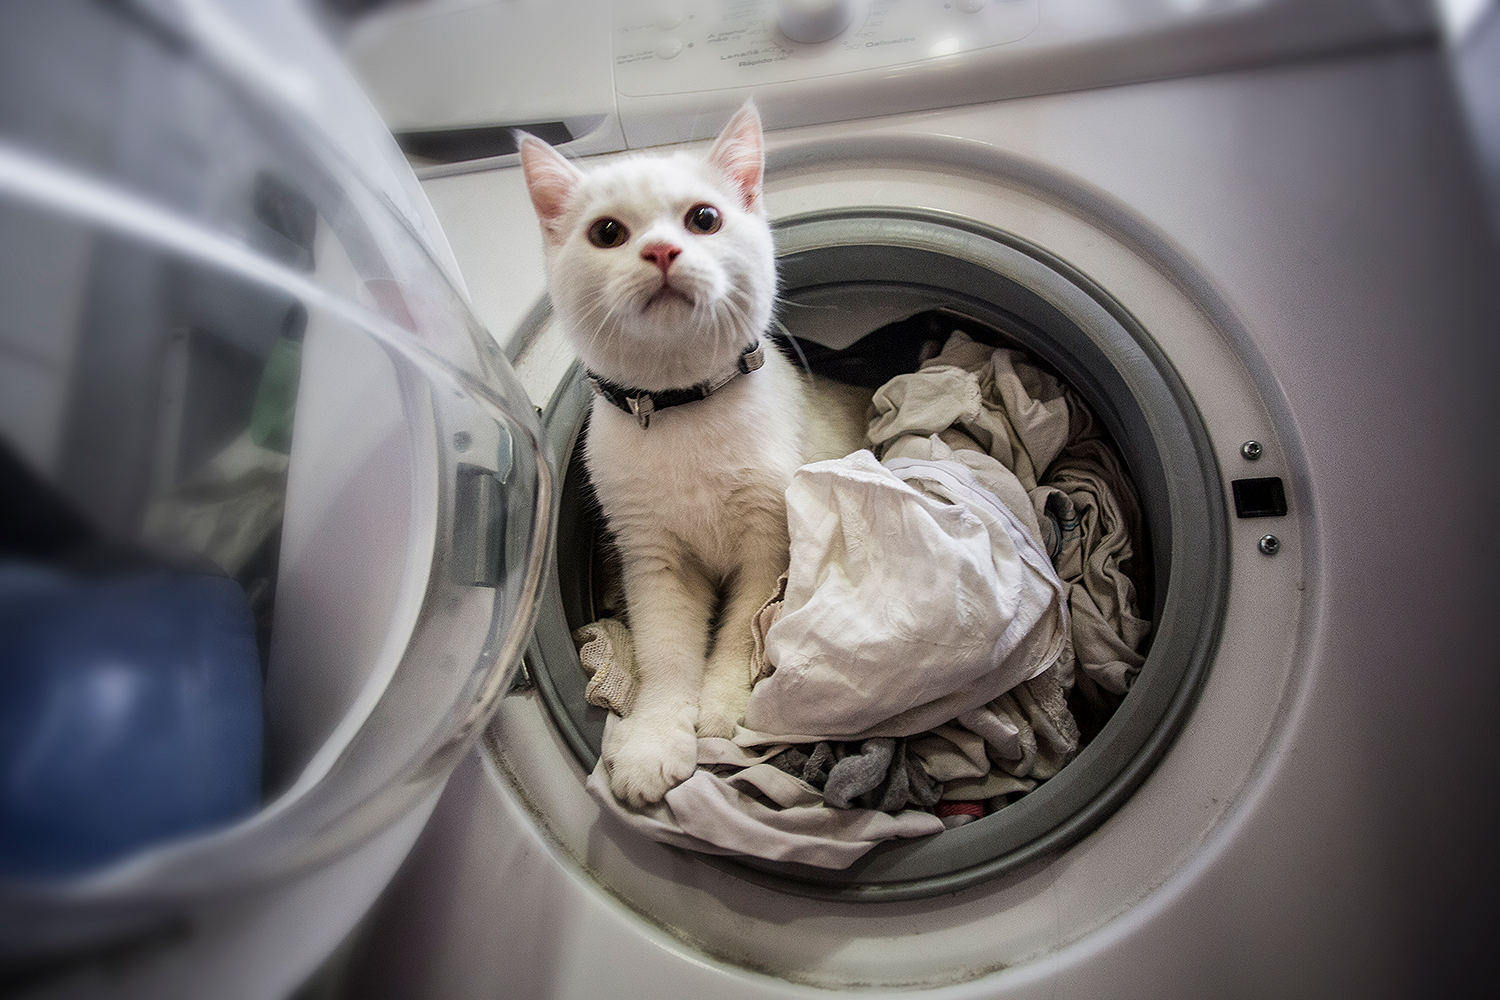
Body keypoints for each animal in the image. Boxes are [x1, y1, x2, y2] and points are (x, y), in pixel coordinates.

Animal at [522, 101, 864, 803]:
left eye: (704, 219)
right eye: (606, 232)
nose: (661, 250)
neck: (683, 412)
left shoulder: (768, 546)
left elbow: (741, 631)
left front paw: (724, 710)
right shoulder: (654, 559)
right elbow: (666, 652)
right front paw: (655, 739)